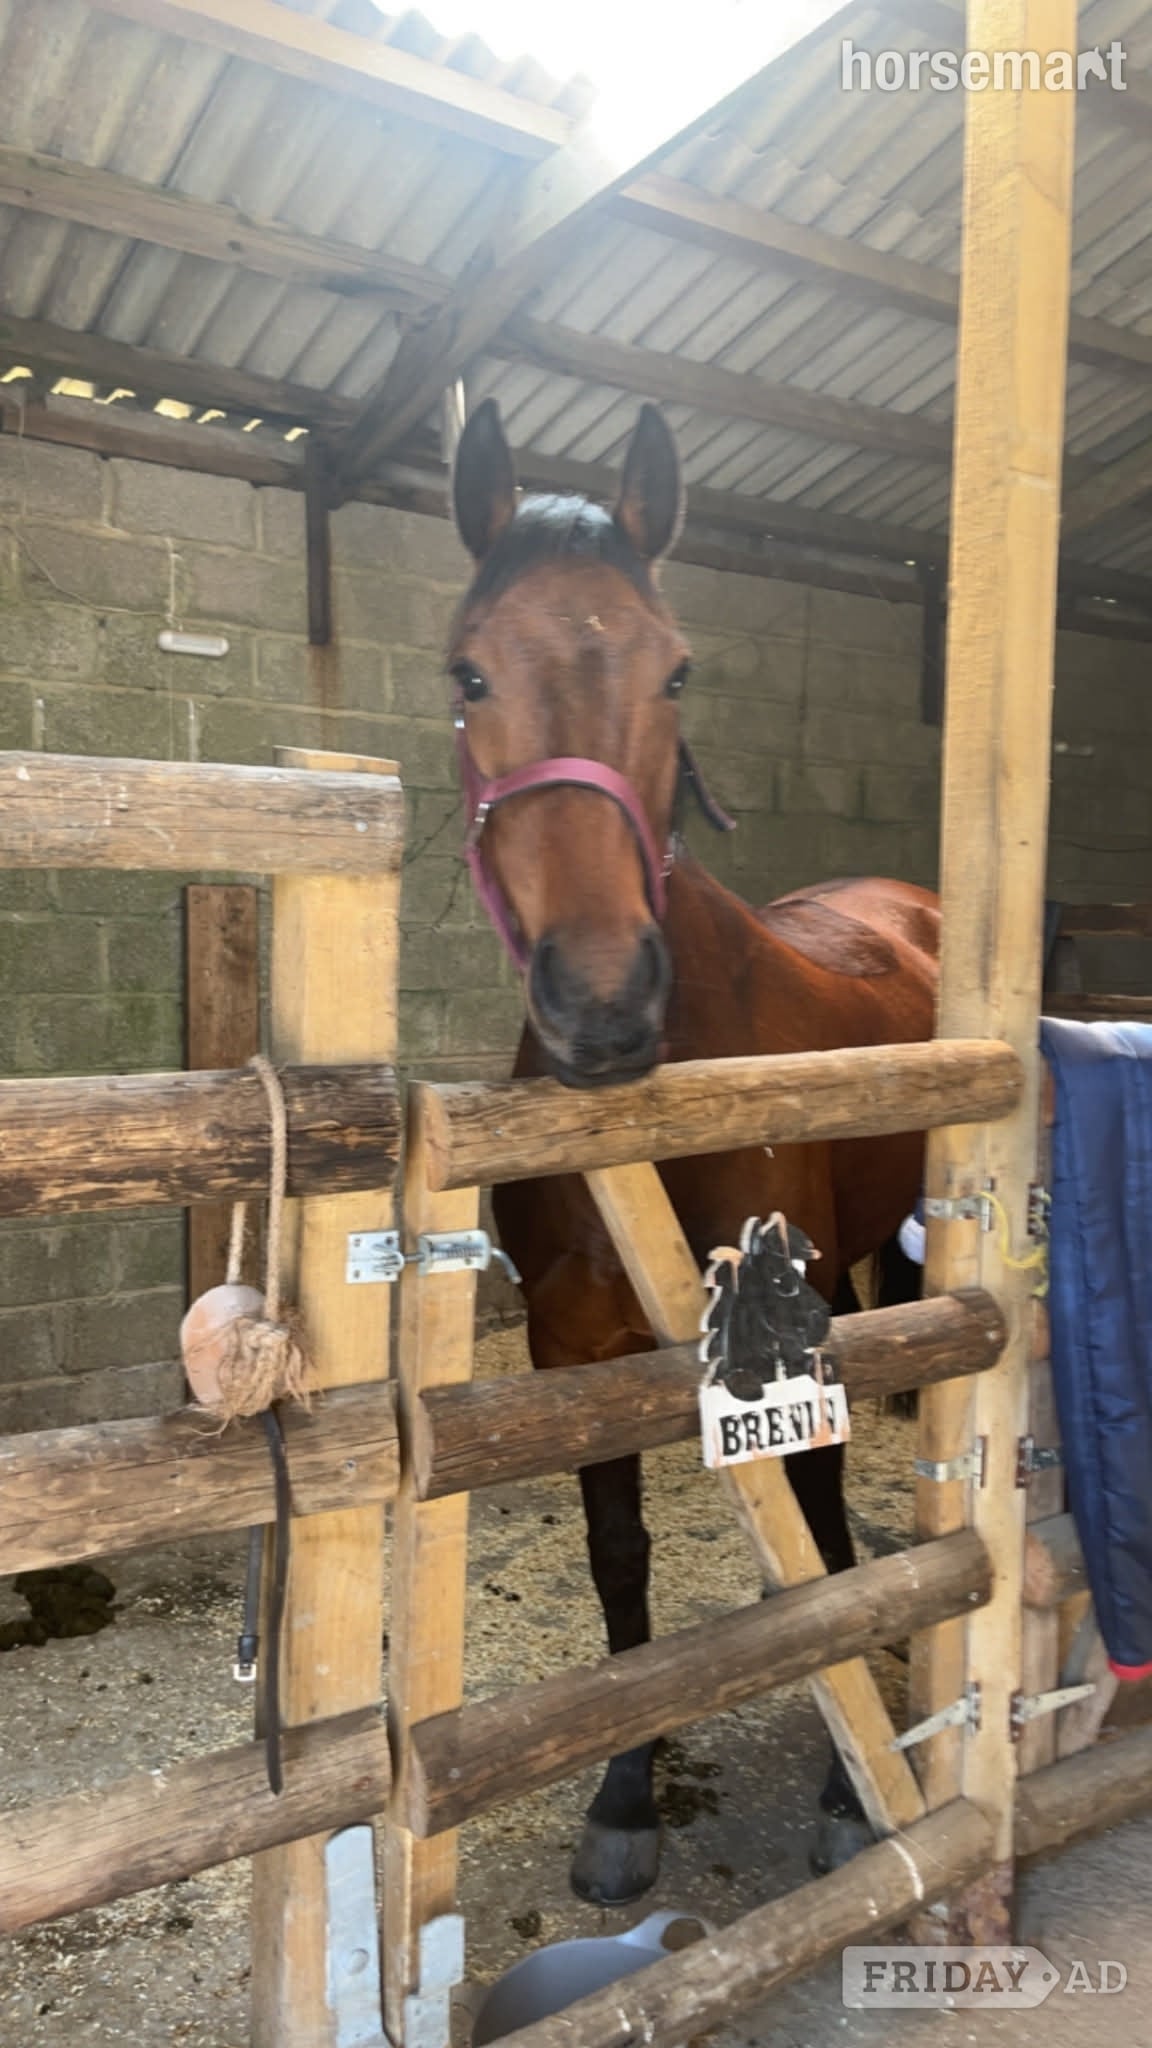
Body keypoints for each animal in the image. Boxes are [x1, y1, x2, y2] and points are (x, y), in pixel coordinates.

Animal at [445, 396, 939, 1906]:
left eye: (677, 669)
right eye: (468, 671)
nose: (604, 1006)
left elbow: (817, 1514)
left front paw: (847, 1786)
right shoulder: (577, 1349)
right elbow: (622, 1563)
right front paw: (622, 1793)